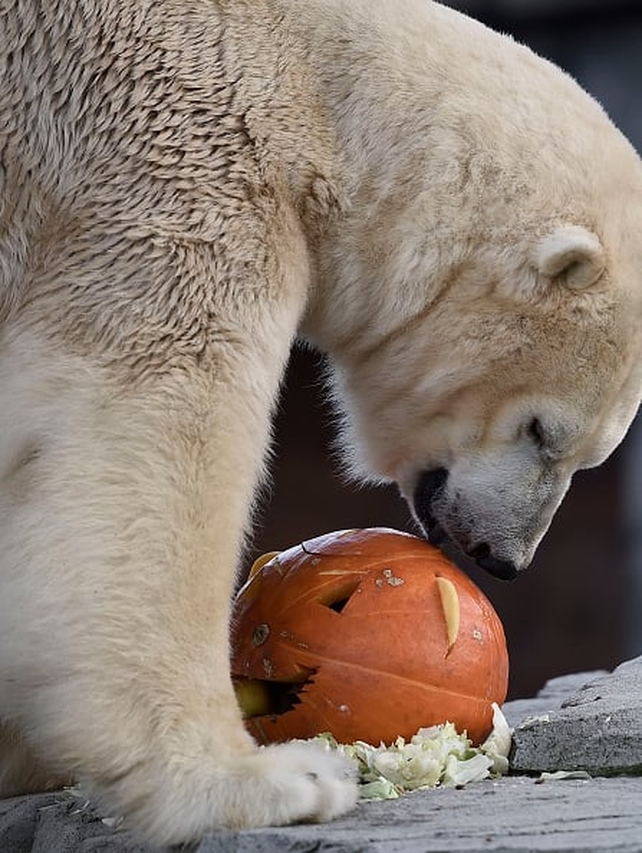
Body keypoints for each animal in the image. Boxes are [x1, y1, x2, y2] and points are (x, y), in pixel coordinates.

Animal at [2, 0, 642, 844]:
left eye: (589, 459)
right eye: (543, 431)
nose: (504, 559)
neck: (318, 93)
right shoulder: (171, 161)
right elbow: (148, 429)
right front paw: (264, 780)